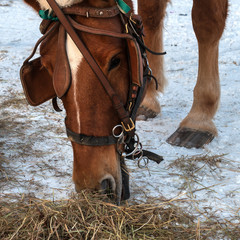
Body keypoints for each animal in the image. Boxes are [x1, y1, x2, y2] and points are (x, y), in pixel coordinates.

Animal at [23, 0, 229, 202]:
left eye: (115, 61)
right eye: (48, 69)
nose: (92, 187)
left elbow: (206, 23)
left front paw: (200, 117)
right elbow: (150, 14)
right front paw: (150, 99)